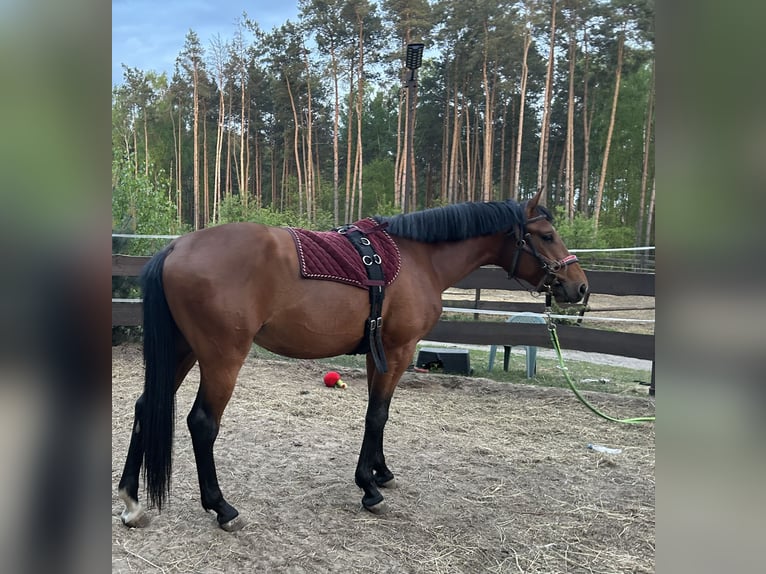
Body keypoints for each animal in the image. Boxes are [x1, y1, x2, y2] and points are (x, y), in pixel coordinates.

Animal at [117, 190, 588, 532]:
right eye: (547, 234)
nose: (580, 287)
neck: (419, 258)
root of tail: (176, 249)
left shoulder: (378, 354)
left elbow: (376, 413)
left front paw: (379, 472)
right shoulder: (399, 349)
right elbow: (378, 413)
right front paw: (369, 488)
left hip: (183, 350)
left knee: (145, 408)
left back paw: (131, 501)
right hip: (221, 358)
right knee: (202, 423)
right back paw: (222, 508)